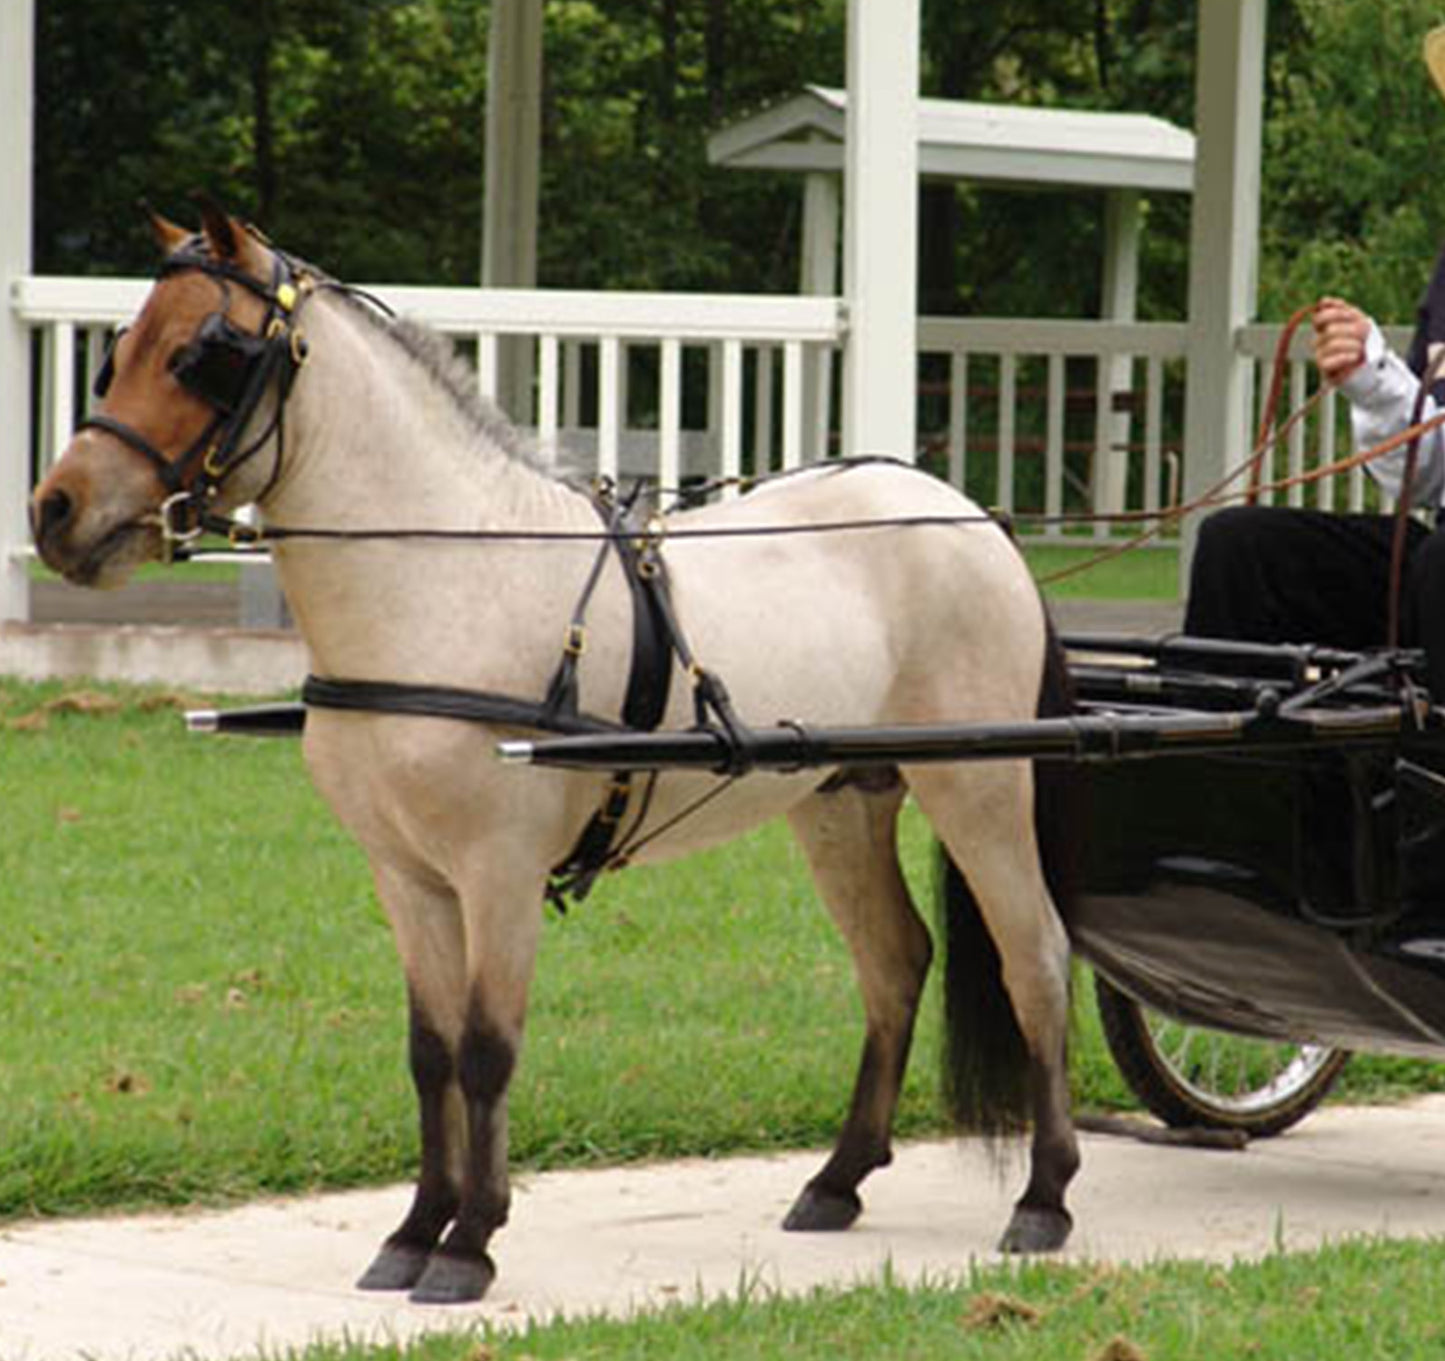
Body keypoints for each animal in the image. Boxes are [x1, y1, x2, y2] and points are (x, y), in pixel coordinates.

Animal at [30, 203, 1080, 1306]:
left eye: (201, 358)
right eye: (117, 355)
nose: (56, 512)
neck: (439, 580)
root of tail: (971, 517)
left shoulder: (497, 867)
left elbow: (488, 1048)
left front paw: (468, 1243)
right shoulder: (406, 874)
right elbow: (431, 1051)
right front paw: (414, 1228)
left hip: (979, 785)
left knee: (1034, 957)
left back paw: (1043, 1194)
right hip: (840, 799)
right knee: (892, 961)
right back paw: (837, 1179)